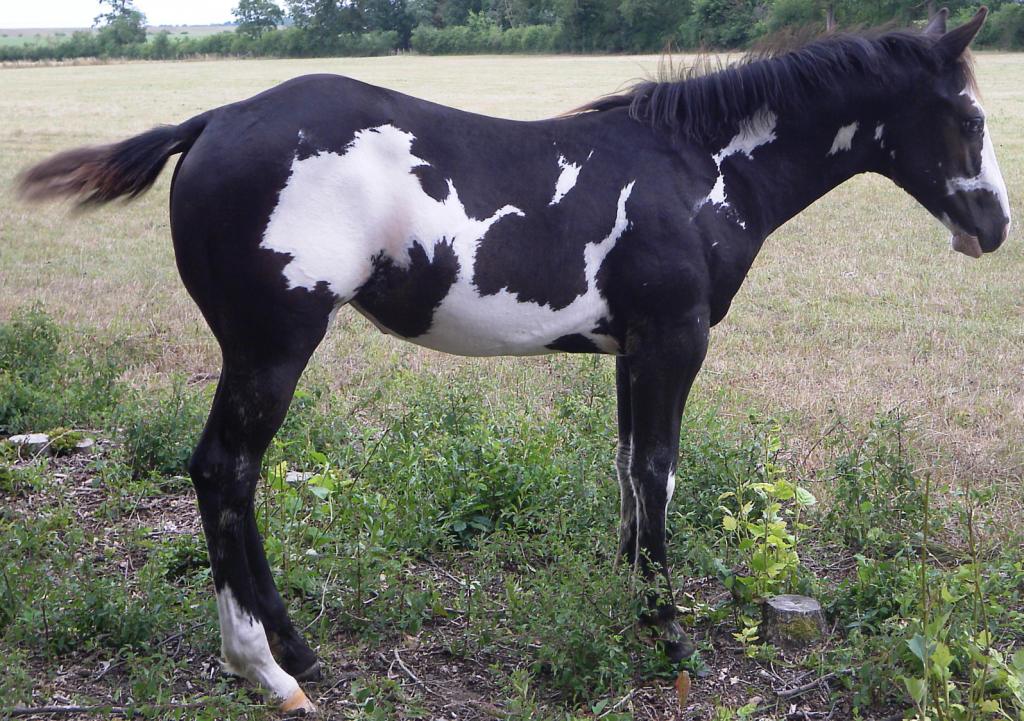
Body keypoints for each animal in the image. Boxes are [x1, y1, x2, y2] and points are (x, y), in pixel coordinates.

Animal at [18, 8, 1010, 714]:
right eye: (967, 114)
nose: (994, 228)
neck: (697, 170)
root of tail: (213, 118)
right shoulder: (676, 341)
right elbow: (661, 471)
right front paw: (669, 634)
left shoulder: (634, 350)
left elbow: (628, 470)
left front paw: (628, 603)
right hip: (273, 347)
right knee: (225, 470)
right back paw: (265, 666)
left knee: (231, 477)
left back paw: (294, 649)